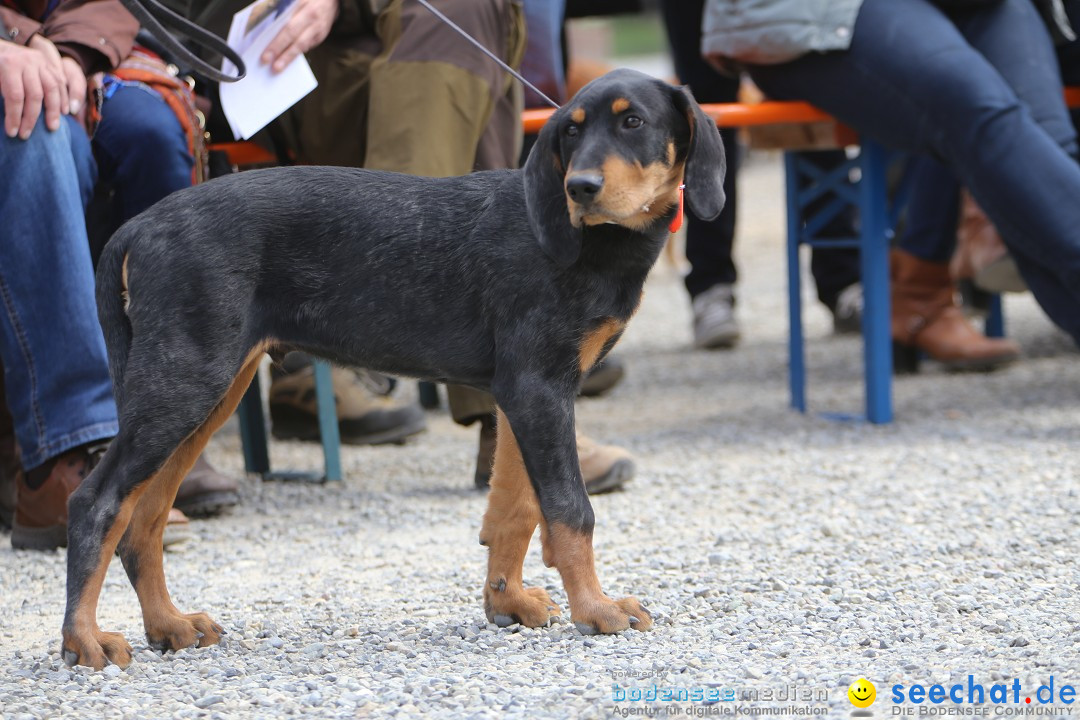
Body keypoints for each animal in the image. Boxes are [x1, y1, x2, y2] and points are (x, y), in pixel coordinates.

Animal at [59, 69, 725, 669]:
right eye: (570, 132)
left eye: (633, 123)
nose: (580, 187)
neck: (590, 242)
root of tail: (140, 225)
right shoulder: (540, 389)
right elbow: (568, 508)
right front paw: (596, 608)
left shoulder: (520, 393)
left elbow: (514, 508)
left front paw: (506, 604)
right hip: (185, 381)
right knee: (95, 502)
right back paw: (84, 640)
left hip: (211, 389)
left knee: (143, 517)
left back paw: (168, 625)